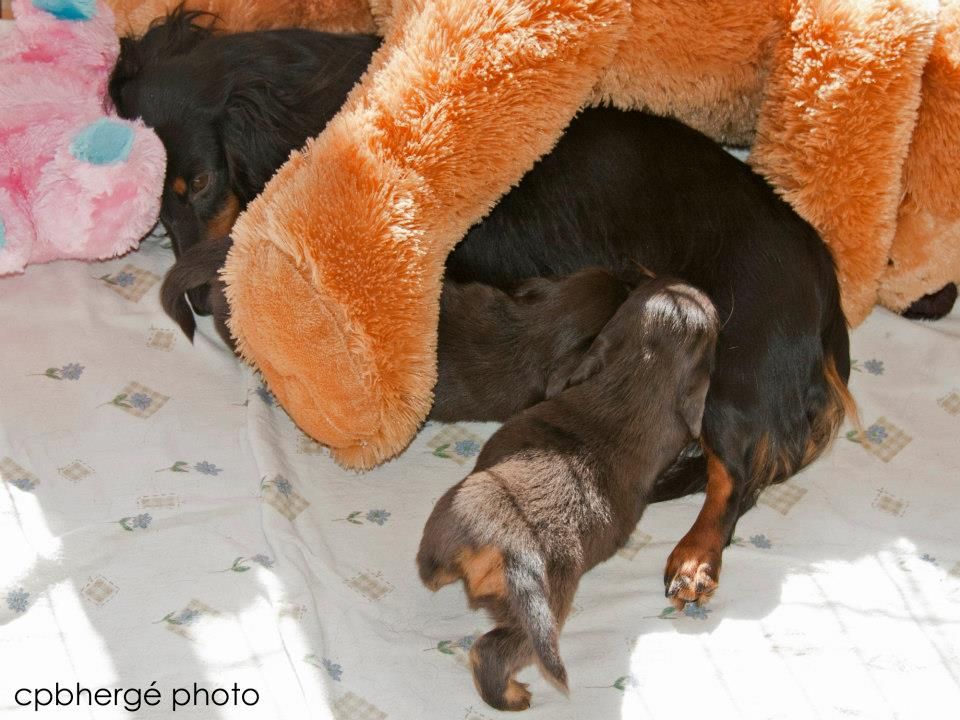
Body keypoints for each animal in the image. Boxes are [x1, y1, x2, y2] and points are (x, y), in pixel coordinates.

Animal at [420, 278, 720, 712]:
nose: (689, 285)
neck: (635, 378)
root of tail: (508, 548)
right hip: (543, 612)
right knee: (491, 653)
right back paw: (514, 696)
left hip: (452, 514)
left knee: (431, 568)